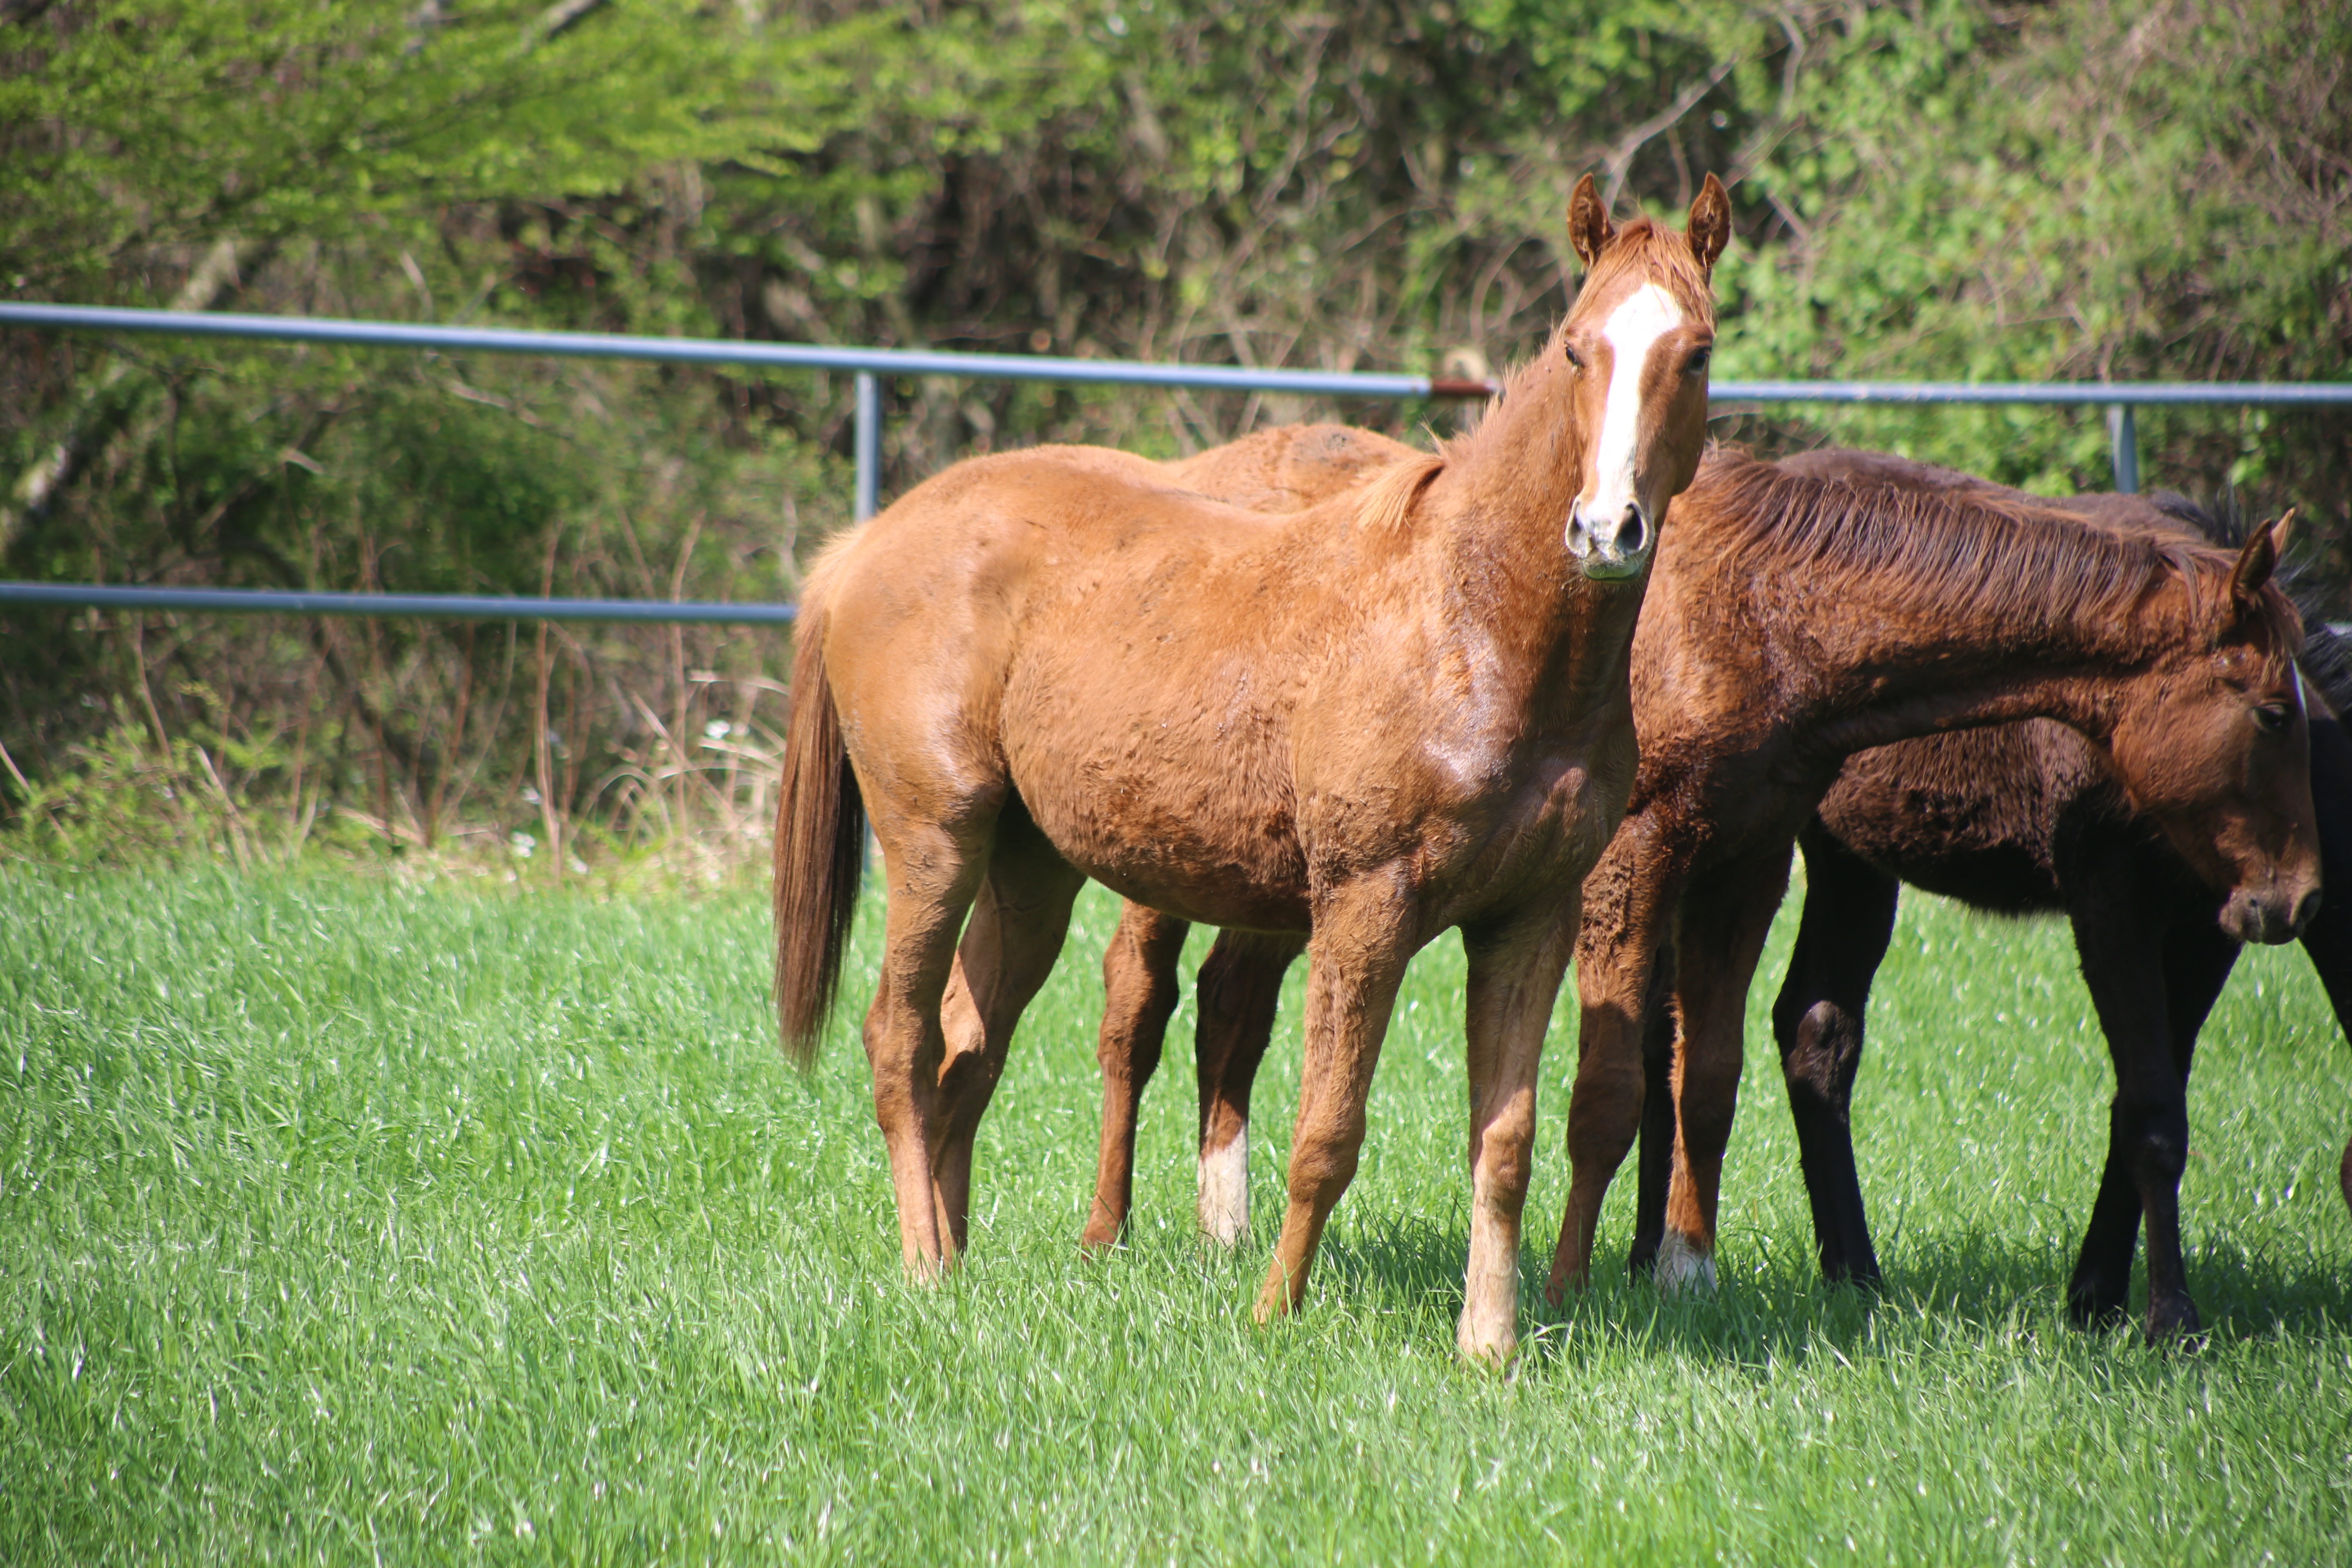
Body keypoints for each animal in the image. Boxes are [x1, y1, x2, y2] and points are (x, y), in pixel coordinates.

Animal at [781, 175, 1740, 1363]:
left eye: (1694, 353)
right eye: (1575, 347)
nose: (1606, 530)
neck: (1473, 623)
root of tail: (864, 546)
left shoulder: (1531, 919)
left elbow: (1504, 1139)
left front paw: (1489, 1345)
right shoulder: (1365, 908)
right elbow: (1327, 1129)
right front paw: (1274, 1310)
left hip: (1029, 871)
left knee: (969, 1049)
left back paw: (957, 1262)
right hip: (933, 844)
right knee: (902, 1040)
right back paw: (922, 1264)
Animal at [1077, 435, 2323, 1335]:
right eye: (2273, 710)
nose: (2296, 899)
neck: (1758, 613)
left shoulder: (1745, 862)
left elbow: (1708, 1078)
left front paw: (1682, 1268)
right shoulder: (1635, 861)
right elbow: (1611, 1090)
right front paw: (1569, 1283)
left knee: (1233, 1007)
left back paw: (1225, 1223)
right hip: (1174, 855)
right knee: (1139, 1001)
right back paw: (1110, 1231)